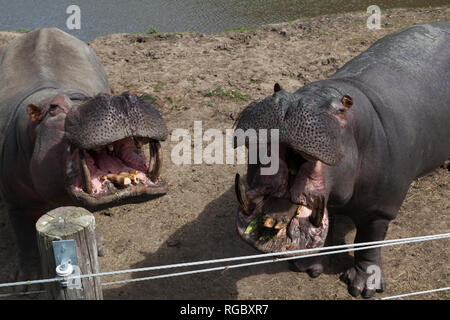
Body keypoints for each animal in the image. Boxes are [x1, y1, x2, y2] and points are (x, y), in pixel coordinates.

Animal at [0, 28, 168, 282]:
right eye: (55, 108)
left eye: (98, 95)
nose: (120, 98)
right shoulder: (17, 202)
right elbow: (25, 235)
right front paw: (26, 280)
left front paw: (98, 246)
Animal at [232, 21, 450, 298]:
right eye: (278, 88)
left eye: (341, 108)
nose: (290, 103)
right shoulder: (331, 201)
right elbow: (328, 232)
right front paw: (306, 267)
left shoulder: (380, 210)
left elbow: (368, 243)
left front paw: (362, 288)